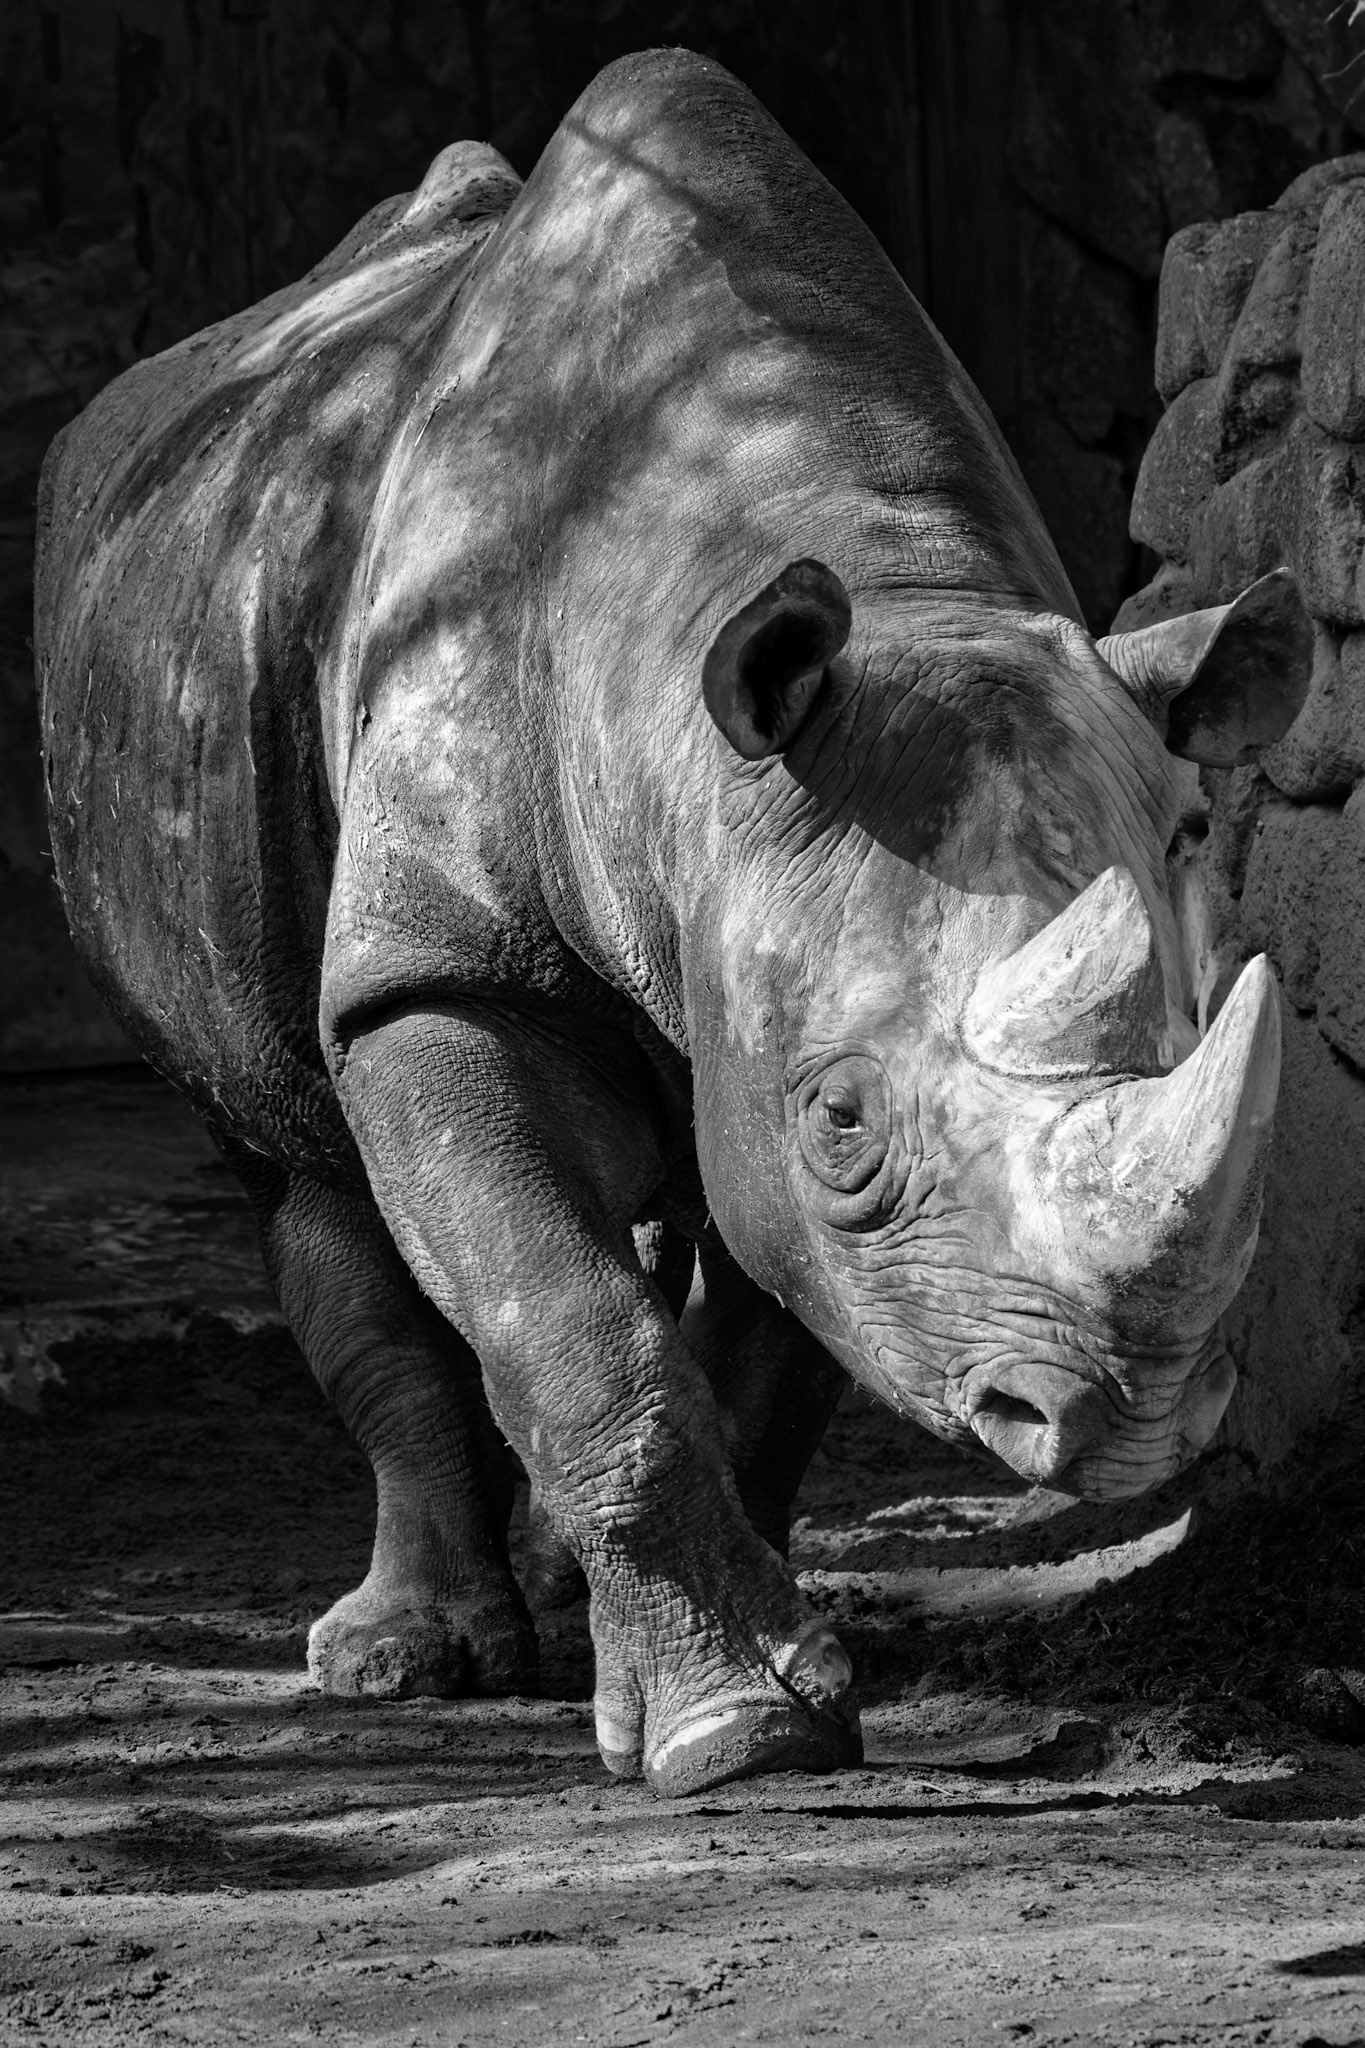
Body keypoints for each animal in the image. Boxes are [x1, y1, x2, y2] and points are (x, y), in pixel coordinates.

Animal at [35, 50, 1309, 1795]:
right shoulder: (445, 970)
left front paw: (757, 1679)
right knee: (302, 1164)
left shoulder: (753, 946)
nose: (1130, 1421)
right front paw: (735, 1738)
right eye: (842, 1119)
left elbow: (767, 1327)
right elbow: (574, 1325)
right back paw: (408, 1661)